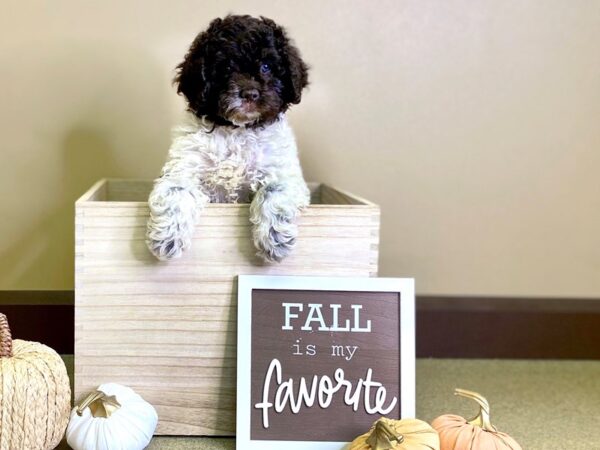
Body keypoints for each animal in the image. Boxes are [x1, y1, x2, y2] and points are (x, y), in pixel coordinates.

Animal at [145, 14, 310, 264]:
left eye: (266, 66)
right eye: (226, 68)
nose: (250, 94)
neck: (236, 129)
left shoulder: (284, 173)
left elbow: (273, 190)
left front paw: (275, 240)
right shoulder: (182, 168)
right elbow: (176, 191)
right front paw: (167, 238)